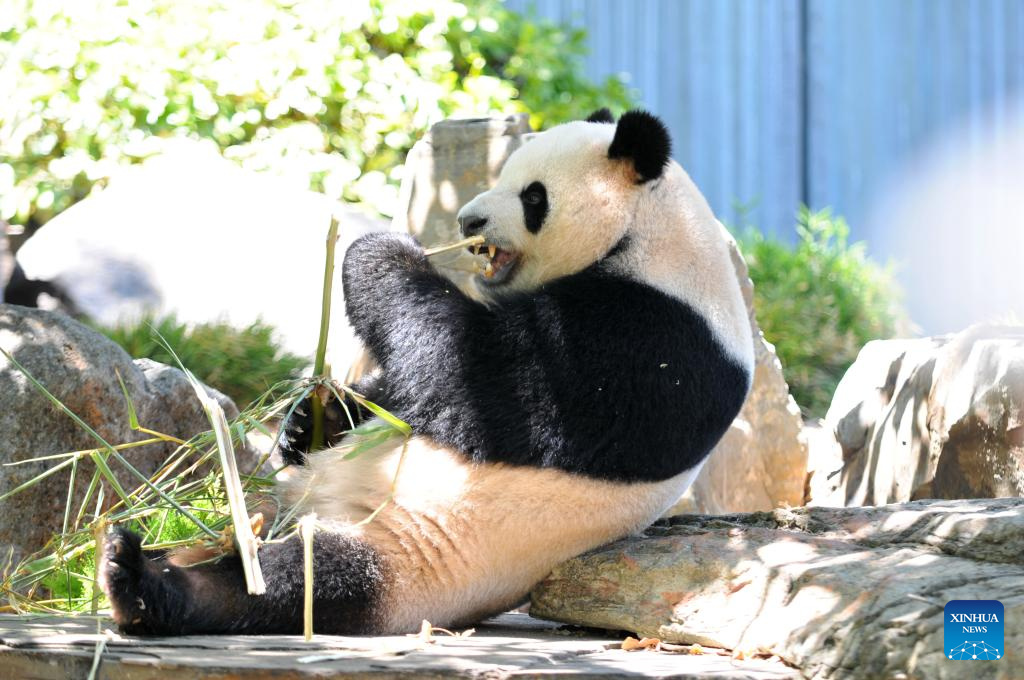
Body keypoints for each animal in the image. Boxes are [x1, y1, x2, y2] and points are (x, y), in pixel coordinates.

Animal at [99, 109, 757, 634]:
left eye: (533, 196)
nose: (467, 222)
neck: (651, 233)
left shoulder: (652, 343)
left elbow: (475, 371)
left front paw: (380, 249)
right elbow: (404, 393)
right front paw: (311, 418)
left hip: (421, 555)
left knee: (305, 580)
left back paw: (143, 584)